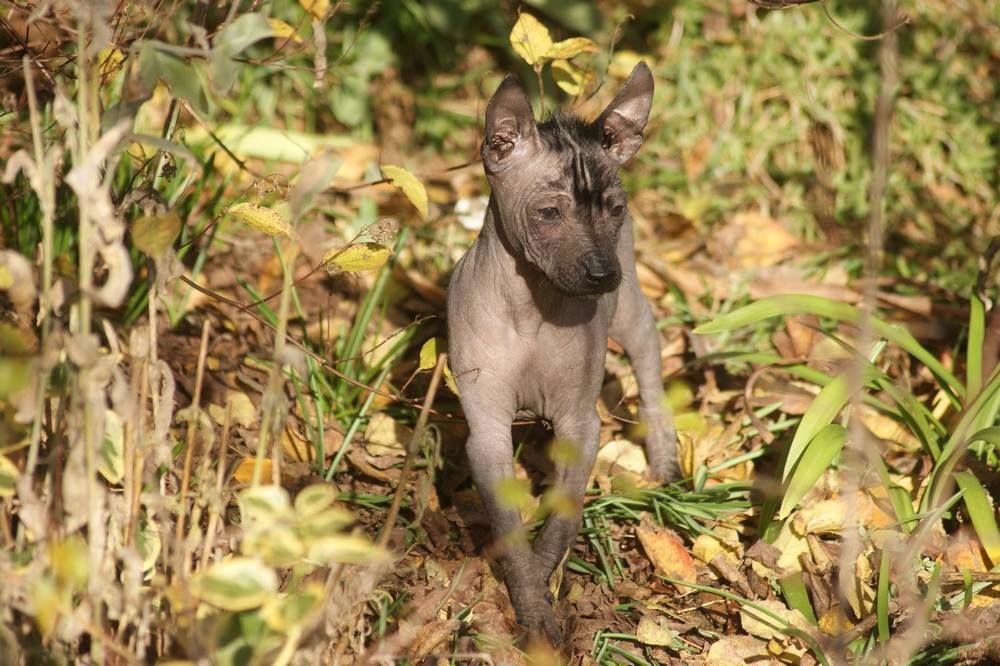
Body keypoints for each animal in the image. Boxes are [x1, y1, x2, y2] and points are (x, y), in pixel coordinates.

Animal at [448, 63, 676, 644]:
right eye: (549, 212)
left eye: (614, 210)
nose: (602, 275)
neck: (533, 309)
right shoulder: (487, 432)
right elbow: (511, 535)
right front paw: (531, 604)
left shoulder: (579, 424)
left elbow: (563, 518)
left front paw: (545, 588)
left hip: (630, 313)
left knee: (650, 367)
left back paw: (664, 456)